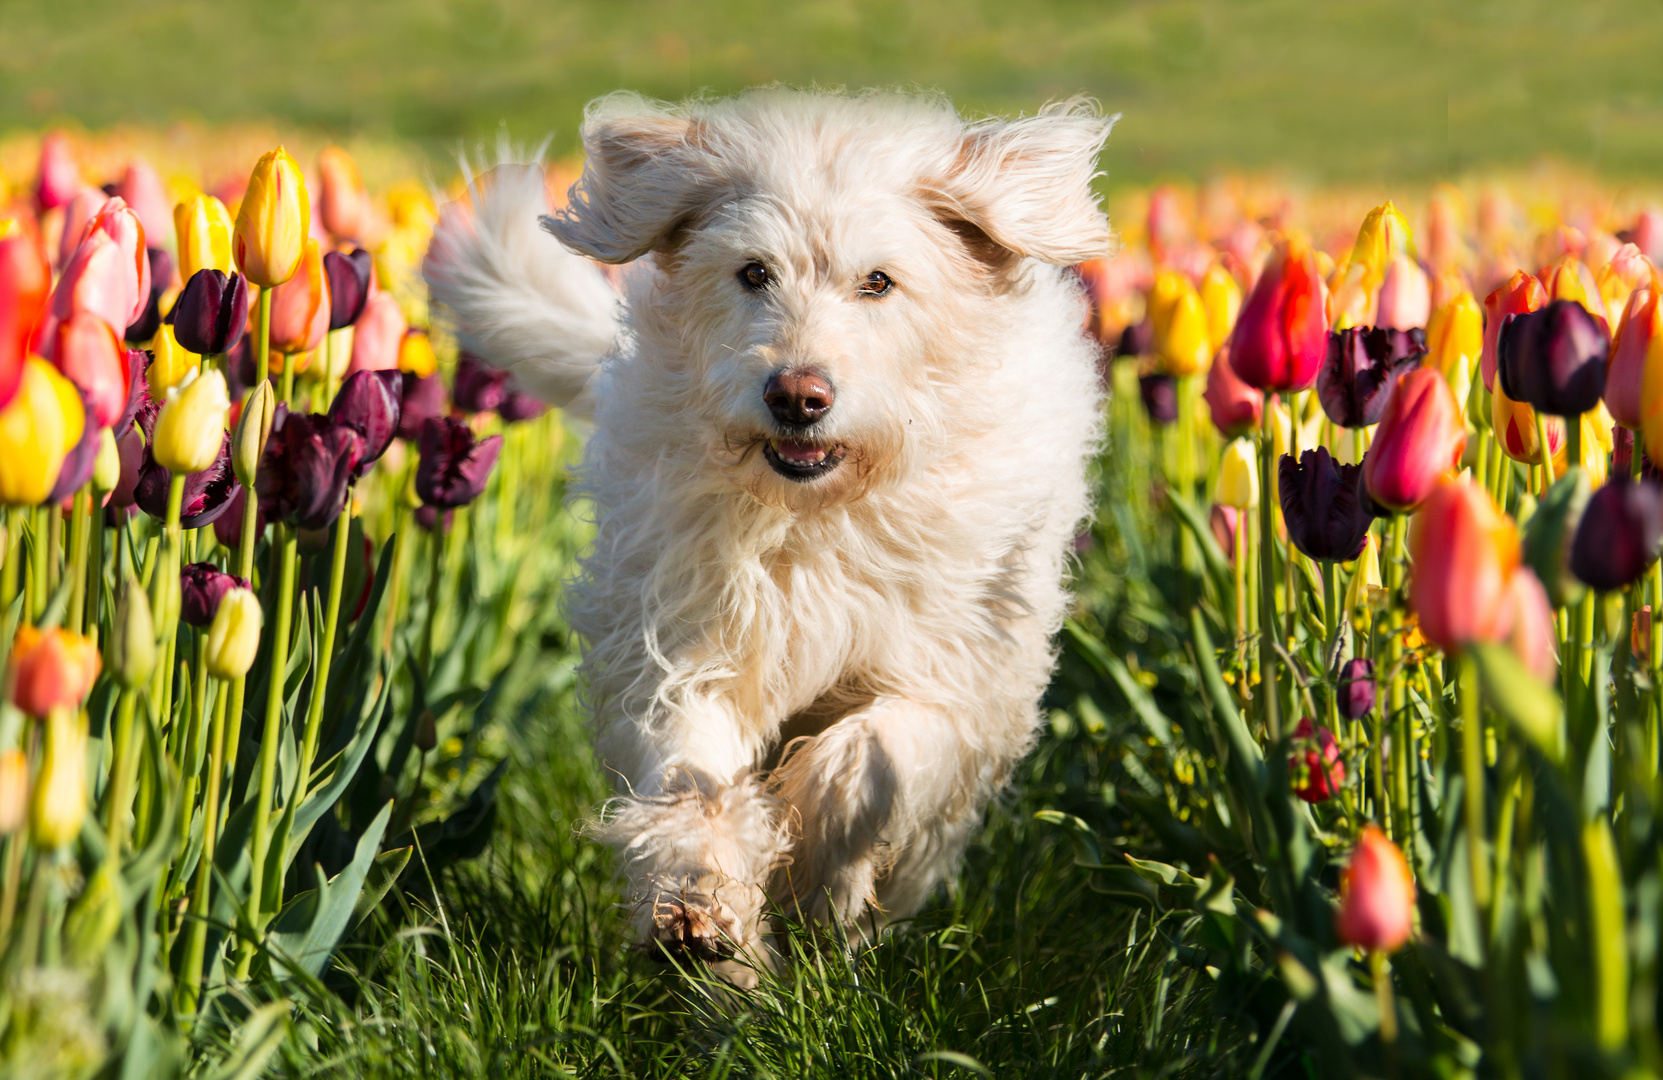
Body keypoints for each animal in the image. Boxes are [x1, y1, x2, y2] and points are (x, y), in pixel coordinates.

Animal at [422, 90, 1110, 971]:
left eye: (878, 282)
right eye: (753, 272)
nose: (796, 396)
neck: (818, 514)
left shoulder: (954, 676)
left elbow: (867, 761)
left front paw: (816, 871)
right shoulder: (686, 641)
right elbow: (690, 771)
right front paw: (701, 906)